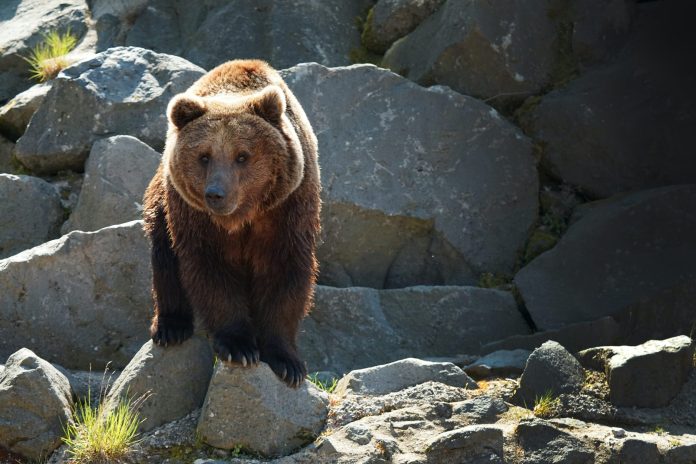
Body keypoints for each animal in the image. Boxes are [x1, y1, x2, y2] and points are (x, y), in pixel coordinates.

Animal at [142, 60, 321, 388]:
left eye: (242, 156)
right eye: (204, 156)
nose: (216, 193)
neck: (241, 216)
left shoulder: (288, 210)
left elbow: (285, 274)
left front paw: (287, 362)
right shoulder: (196, 219)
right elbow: (211, 271)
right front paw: (240, 347)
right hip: (163, 201)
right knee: (164, 255)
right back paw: (171, 326)